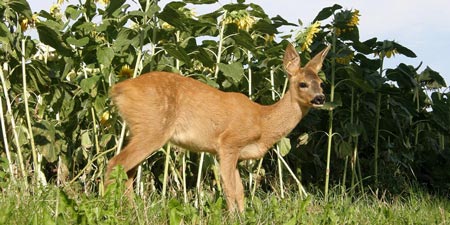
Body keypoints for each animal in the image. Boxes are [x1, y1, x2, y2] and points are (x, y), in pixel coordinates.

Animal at [104, 42, 330, 213]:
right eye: (302, 84)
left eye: (321, 83)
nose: (320, 98)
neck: (262, 120)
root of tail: (118, 89)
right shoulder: (228, 143)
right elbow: (230, 189)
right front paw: (232, 217)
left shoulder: (237, 155)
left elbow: (240, 191)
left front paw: (242, 216)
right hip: (152, 128)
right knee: (115, 163)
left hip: (138, 129)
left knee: (127, 171)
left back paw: (131, 210)